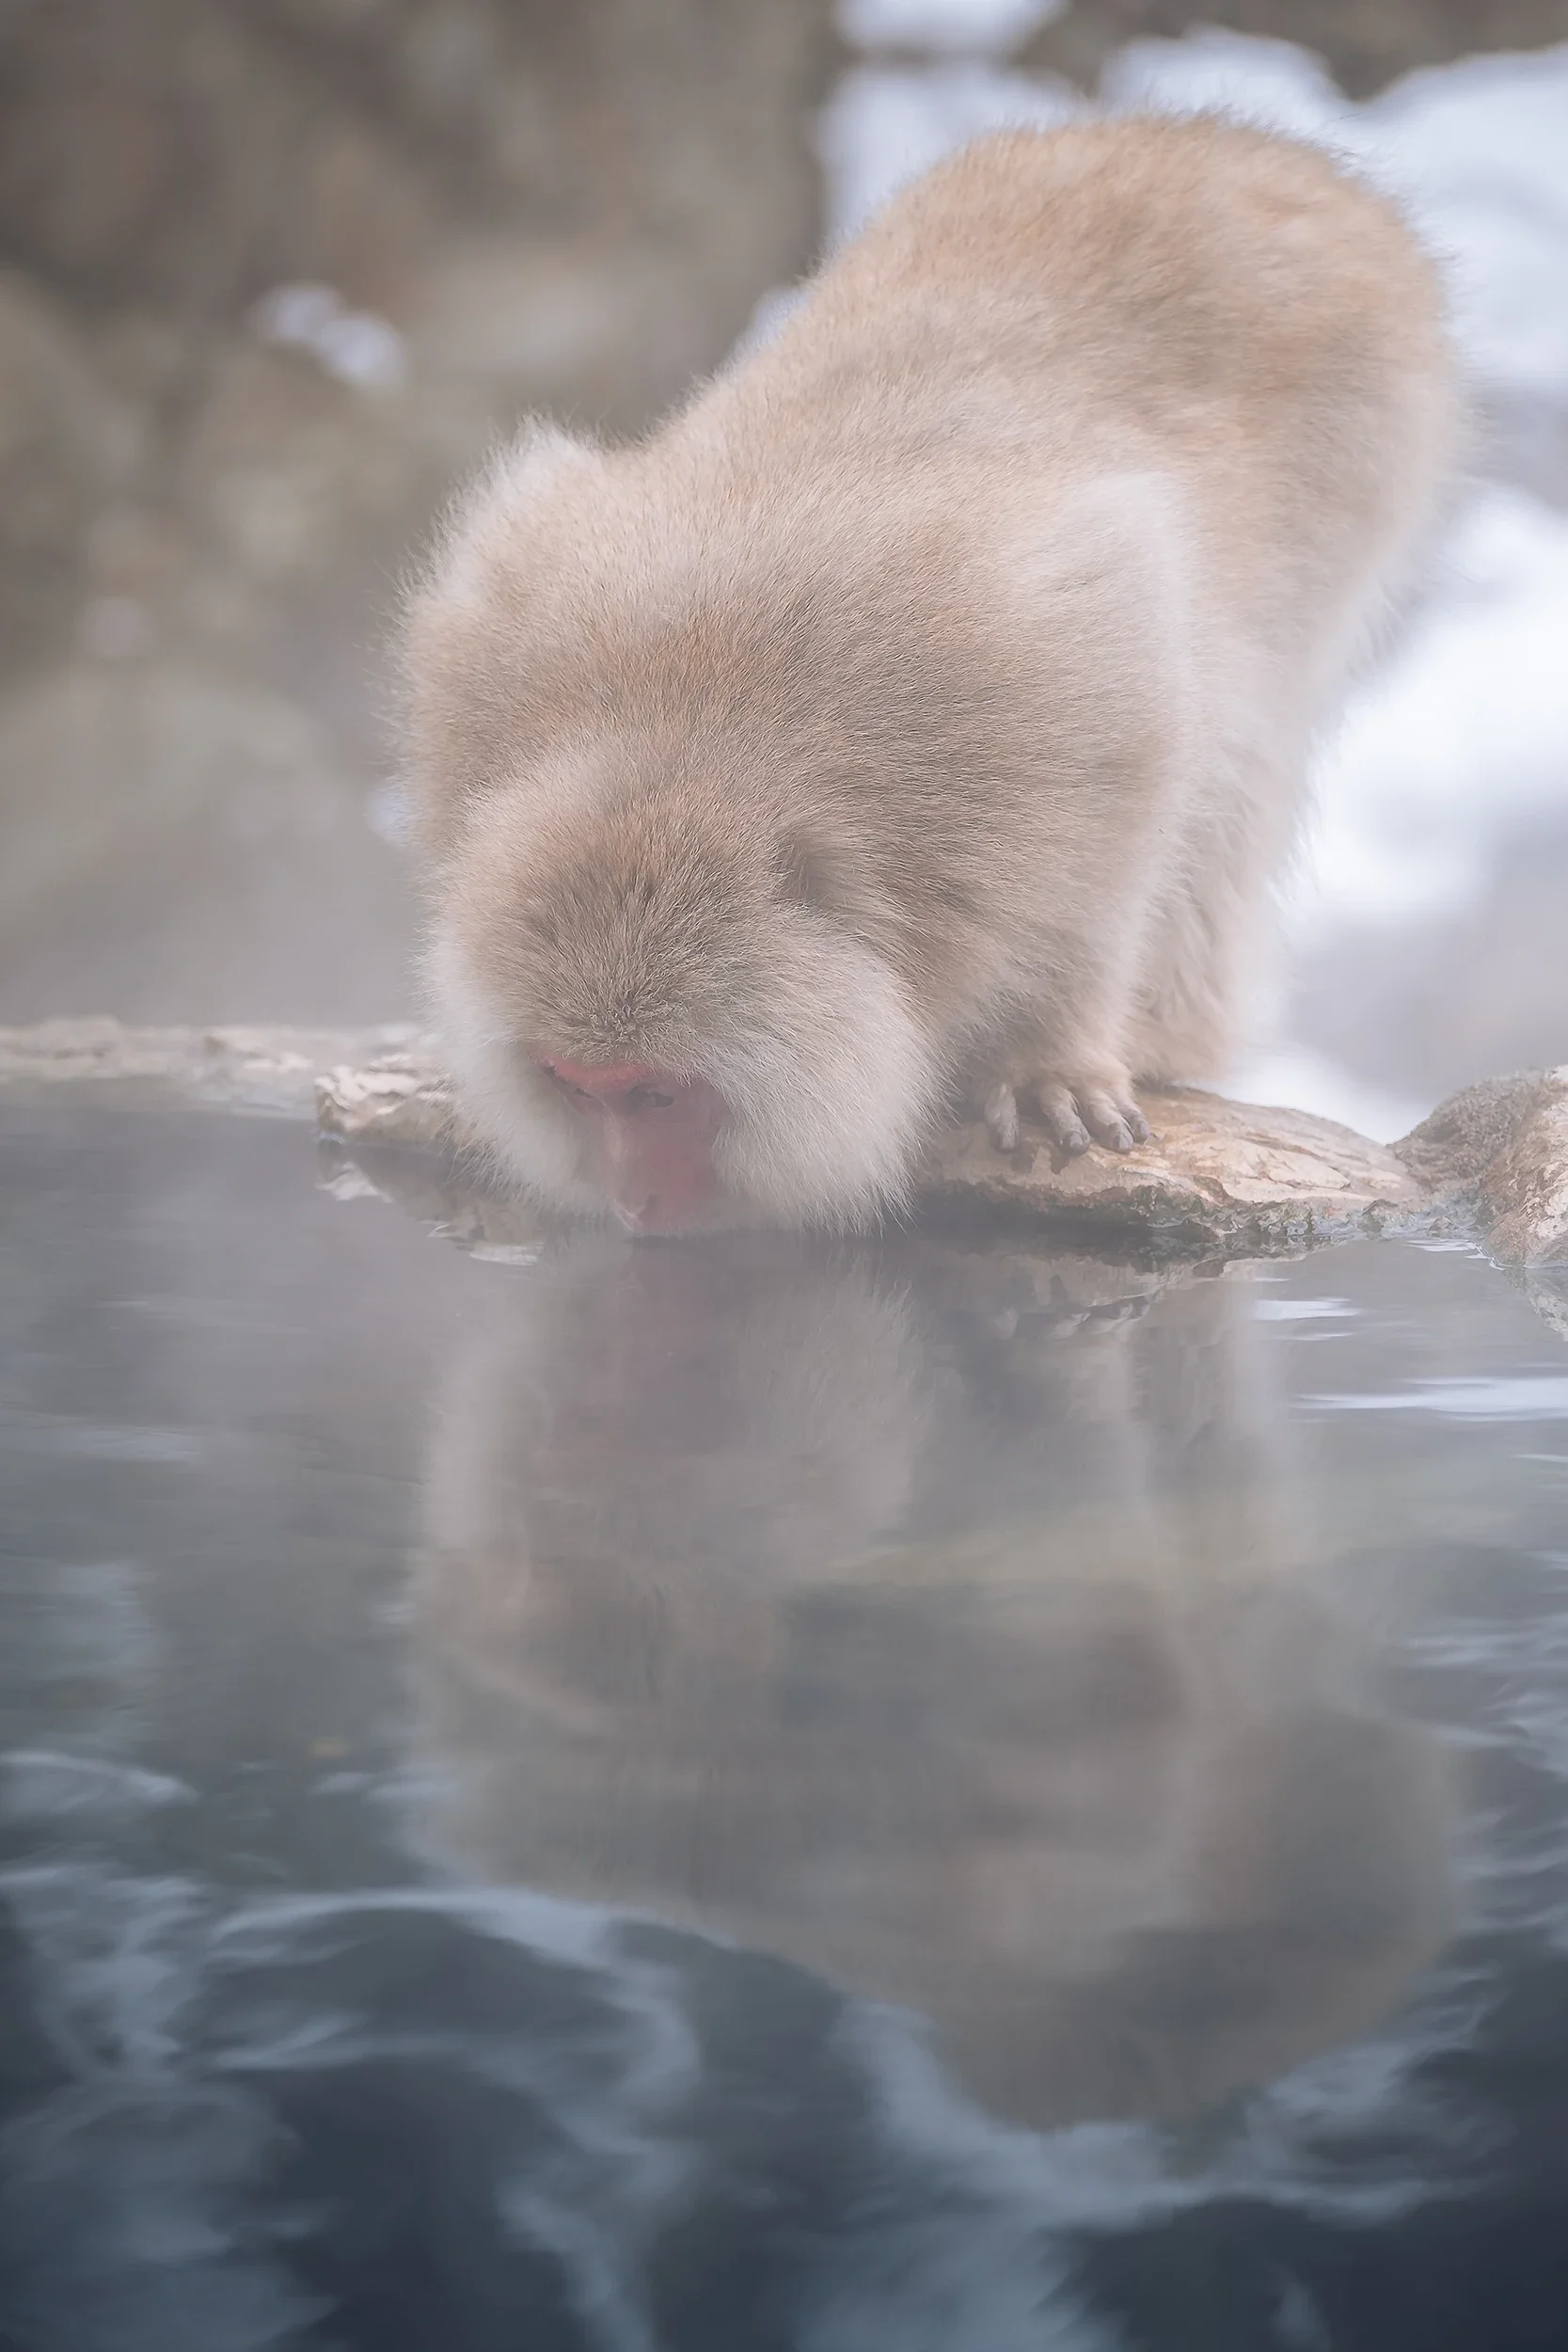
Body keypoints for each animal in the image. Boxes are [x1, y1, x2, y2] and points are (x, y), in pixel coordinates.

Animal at [403, 116, 1459, 1234]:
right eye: (576, 1086)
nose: (634, 1199)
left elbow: (1121, 812)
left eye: (656, 1093)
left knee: (1244, 740)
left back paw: (1171, 1031)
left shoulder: (1049, 686)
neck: (683, 735)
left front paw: (1047, 1057)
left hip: (1366, 446)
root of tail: (1213, 139)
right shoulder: (471, 667)